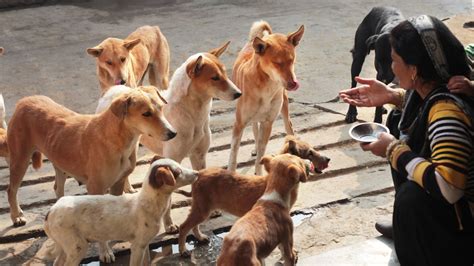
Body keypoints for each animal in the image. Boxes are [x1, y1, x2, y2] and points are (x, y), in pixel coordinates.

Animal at [6, 89, 176, 227]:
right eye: (146, 113)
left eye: (161, 108)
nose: (173, 133)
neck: (118, 138)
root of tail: (25, 100)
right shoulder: (95, 188)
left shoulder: (118, 183)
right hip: (20, 159)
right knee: (11, 190)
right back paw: (16, 216)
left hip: (59, 160)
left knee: (57, 188)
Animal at [43, 158, 197, 266]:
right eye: (178, 172)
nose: (197, 173)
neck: (148, 202)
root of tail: (50, 212)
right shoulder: (137, 246)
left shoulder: (144, 244)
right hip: (77, 247)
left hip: (65, 245)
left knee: (57, 263)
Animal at [178, 136, 330, 256]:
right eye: (310, 153)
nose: (328, 159)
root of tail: (198, 175)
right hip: (202, 208)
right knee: (184, 226)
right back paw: (183, 250)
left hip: (201, 207)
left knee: (193, 225)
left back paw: (200, 238)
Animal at [229, 20, 304, 175]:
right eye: (277, 63)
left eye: (292, 60)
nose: (294, 84)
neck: (266, 87)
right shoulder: (239, 124)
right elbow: (233, 155)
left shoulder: (268, 122)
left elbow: (261, 154)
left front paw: (259, 173)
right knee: (254, 129)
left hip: (283, 106)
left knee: (288, 126)